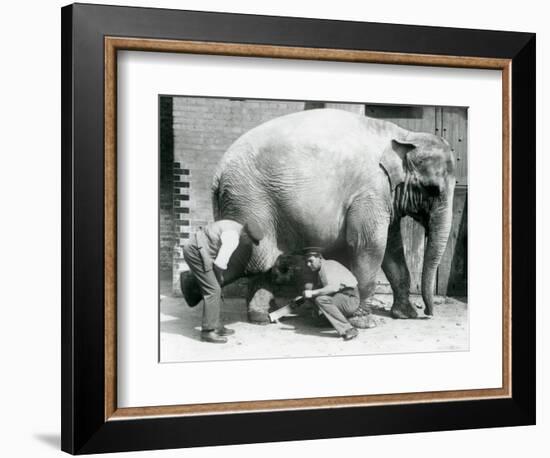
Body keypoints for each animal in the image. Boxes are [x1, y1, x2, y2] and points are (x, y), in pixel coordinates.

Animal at [207, 107, 458, 322]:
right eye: (432, 189)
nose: (428, 313)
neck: (404, 134)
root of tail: (217, 173)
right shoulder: (370, 192)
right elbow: (370, 245)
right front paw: (363, 321)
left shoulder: (385, 196)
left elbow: (392, 249)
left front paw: (405, 315)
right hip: (249, 200)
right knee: (255, 259)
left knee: (262, 261)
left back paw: (261, 317)